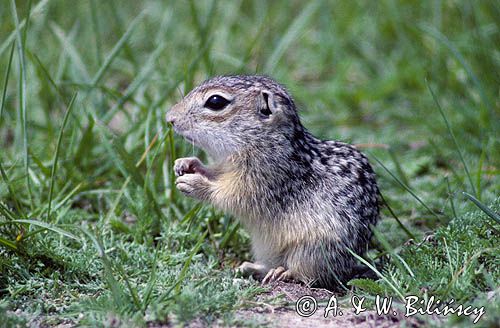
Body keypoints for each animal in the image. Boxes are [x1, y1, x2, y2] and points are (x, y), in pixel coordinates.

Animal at [166, 75, 380, 288]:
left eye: (216, 101)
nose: (170, 118)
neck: (261, 140)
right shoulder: (226, 167)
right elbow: (214, 173)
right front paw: (186, 163)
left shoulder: (264, 178)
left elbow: (231, 196)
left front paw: (195, 184)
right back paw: (251, 267)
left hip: (312, 250)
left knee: (312, 274)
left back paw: (284, 273)